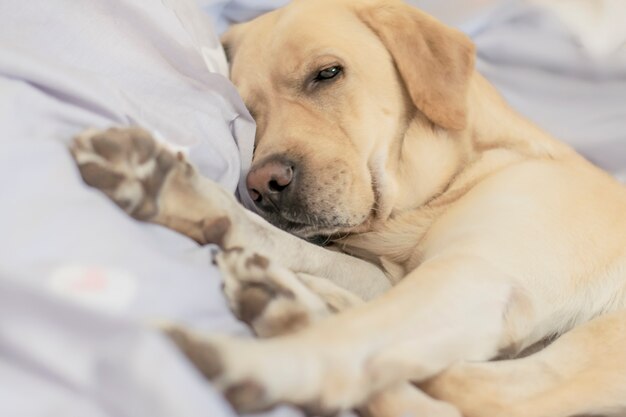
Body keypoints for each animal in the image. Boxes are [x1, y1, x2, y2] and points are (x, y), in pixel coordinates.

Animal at [70, 0, 624, 416]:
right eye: (249, 110)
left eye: (327, 73)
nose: (263, 184)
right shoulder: (409, 273)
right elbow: (298, 247)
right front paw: (188, 197)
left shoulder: (479, 275)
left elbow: (354, 341)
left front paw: (247, 363)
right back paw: (279, 295)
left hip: (602, 341)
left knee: (473, 393)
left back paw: (266, 329)